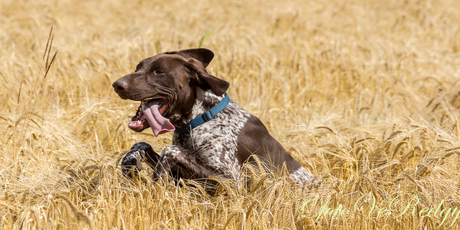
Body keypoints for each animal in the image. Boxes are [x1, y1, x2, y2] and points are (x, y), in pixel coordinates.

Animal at [113, 47, 318, 188]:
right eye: (138, 67)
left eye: (159, 71)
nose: (116, 85)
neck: (201, 119)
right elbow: (141, 144)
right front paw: (130, 163)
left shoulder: (232, 181)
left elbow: (170, 151)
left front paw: (156, 183)